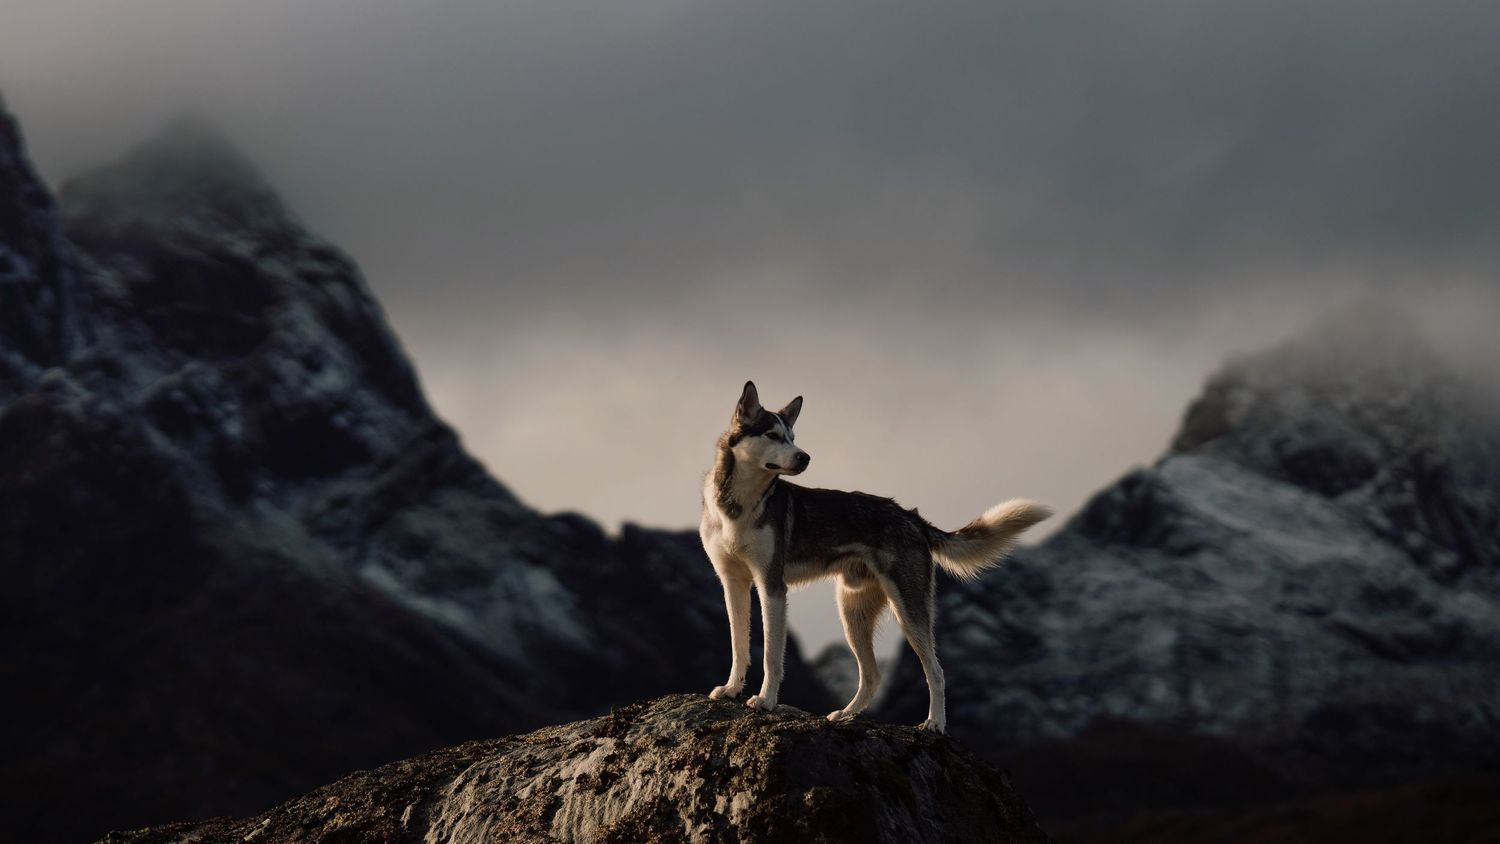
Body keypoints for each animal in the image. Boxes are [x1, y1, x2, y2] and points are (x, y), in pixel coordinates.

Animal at [699, 381, 1052, 733]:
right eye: (772, 435)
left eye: (793, 437)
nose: (805, 457)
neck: (739, 507)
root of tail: (912, 518)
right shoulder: (733, 584)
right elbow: (739, 646)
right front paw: (731, 689)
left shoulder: (771, 586)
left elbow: (771, 655)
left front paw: (766, 700)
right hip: (853, 610)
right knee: (872, 676)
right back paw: (846, 714)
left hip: (908, 610)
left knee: (936, 672)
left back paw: (935, 723)